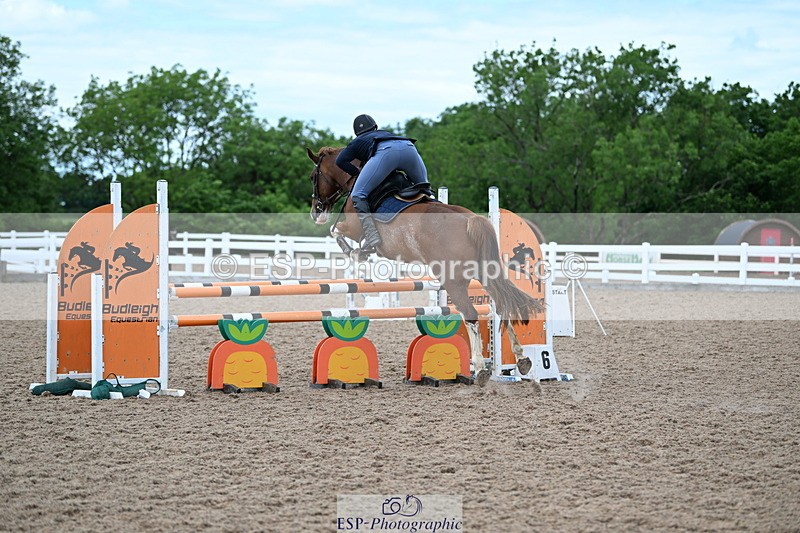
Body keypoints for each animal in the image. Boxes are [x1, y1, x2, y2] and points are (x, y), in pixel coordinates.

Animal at [306, 146, 543, 386]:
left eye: (313, 176)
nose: (316, 212)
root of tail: (471, 220)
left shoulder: (352, 227)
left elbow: (335, 232)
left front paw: (356, 252)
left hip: (454, 281)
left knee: (471, 314)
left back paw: (479, 367)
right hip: (484, 273)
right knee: (503, 304)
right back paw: (521, 359)